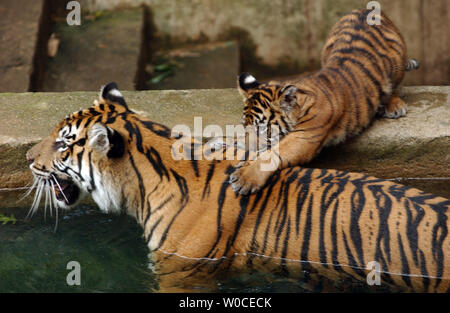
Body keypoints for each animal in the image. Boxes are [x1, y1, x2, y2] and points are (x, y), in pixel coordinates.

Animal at [230, 9, 420, 194]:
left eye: (261, 129)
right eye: (245, 126)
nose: (246, 150)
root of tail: (367, 10)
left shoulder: (305, 136)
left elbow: (272, 153)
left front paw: (244, 177)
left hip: (397, 58)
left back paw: (393, 105)